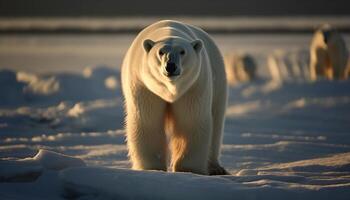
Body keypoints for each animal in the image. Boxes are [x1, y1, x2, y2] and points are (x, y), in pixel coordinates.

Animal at [121, 20, 228, 175]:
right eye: (161, 52)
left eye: (182, 51)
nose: (170, 66)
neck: (170, 90)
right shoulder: (143, 85)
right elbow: (147, 121)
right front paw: (152, 168)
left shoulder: (194, 86)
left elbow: (191, 121)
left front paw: (188, 169)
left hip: (218, 79)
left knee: (217, 121)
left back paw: (216, 168)